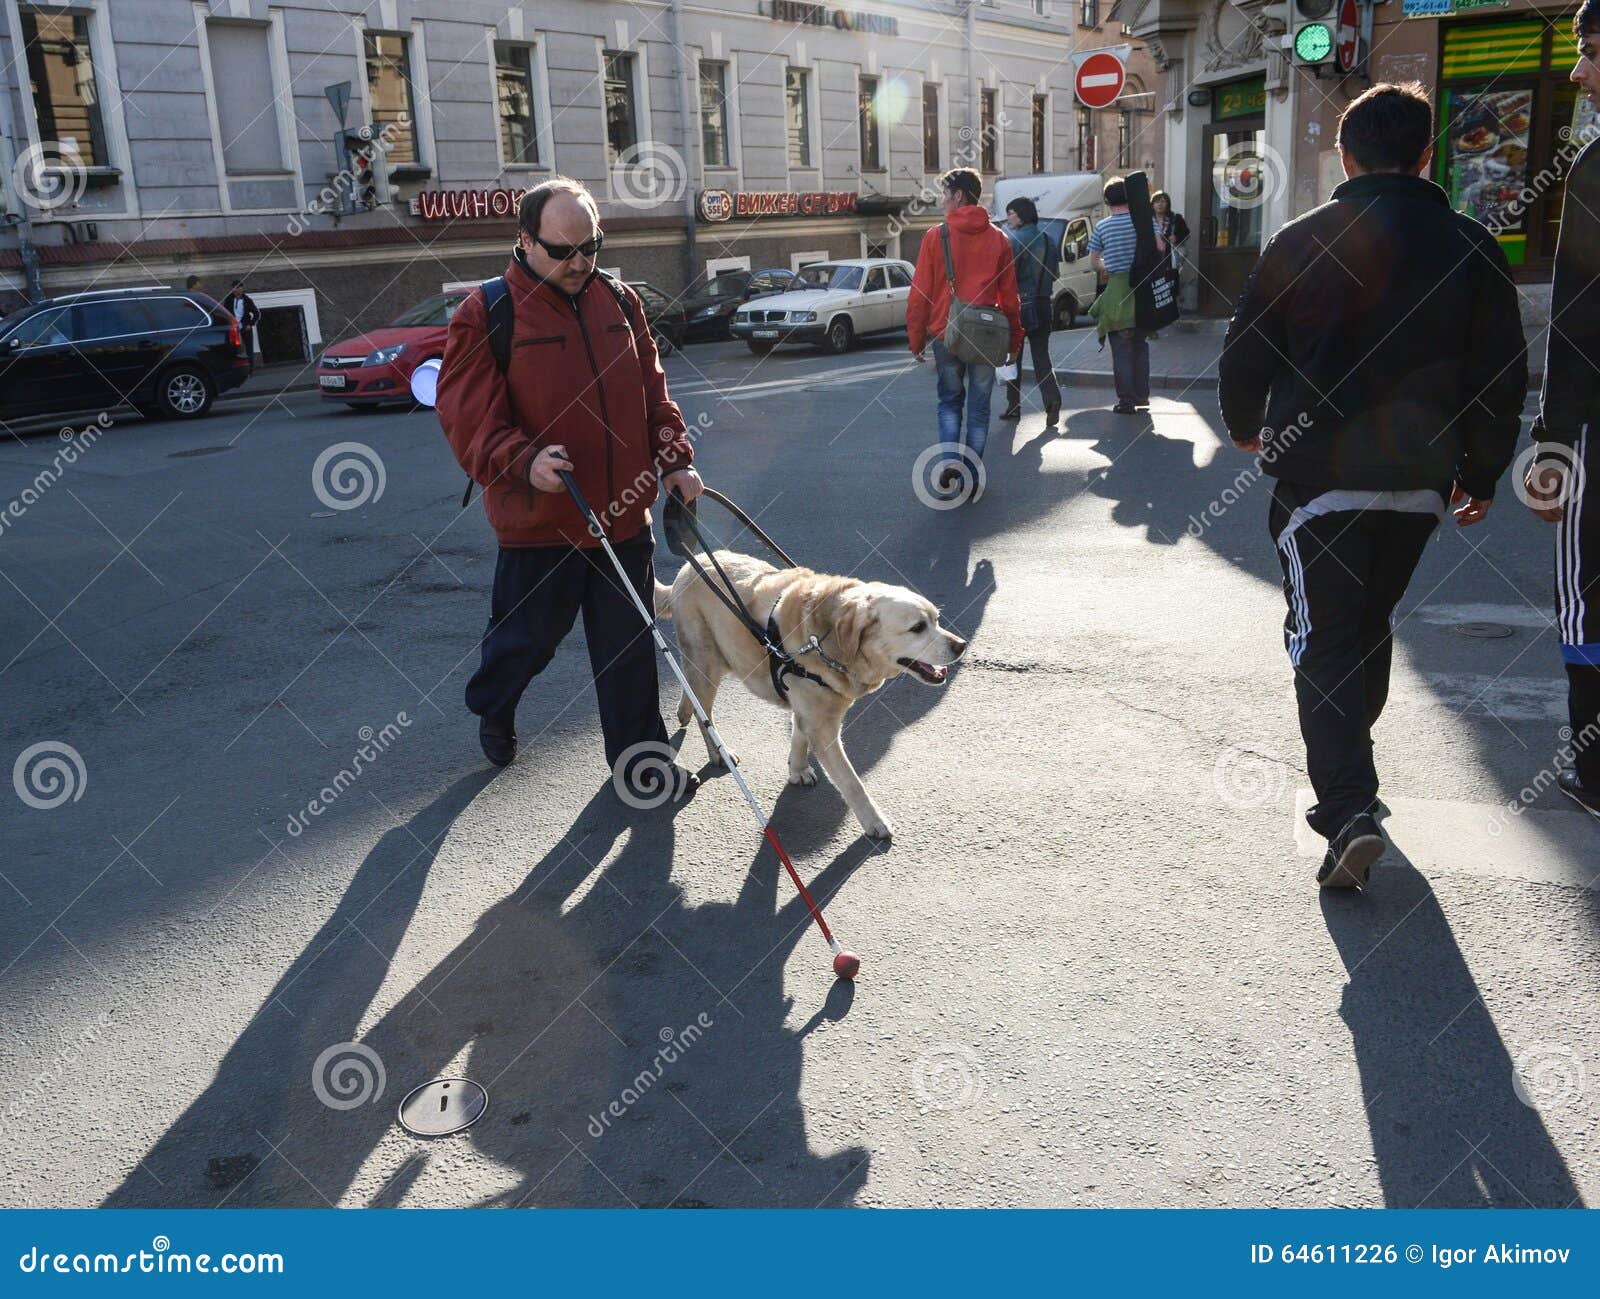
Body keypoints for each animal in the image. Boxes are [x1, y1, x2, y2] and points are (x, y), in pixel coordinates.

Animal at [659, 550, 966, 844]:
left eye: (937, 620)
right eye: (918, 627)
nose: (961, 645)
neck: (825, 642)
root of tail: (688, 567)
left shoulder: (808, 711)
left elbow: (799, 737)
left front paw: (797, 769)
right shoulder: (823, 728)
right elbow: (852, 782)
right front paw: (874, 821)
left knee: (691, 690)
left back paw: (684, 710)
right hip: (706, 661)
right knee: (704, 711)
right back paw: (716, 751)